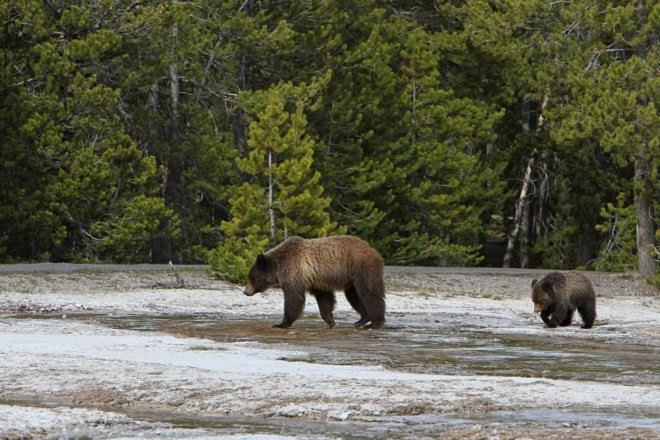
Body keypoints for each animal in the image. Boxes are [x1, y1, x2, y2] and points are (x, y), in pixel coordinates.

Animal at [243, 235, 386, 329]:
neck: (278, 268)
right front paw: (330, 321)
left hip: (362, 268)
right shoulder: (316, 280)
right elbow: (325, 300)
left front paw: (281, 323)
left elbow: (293, 299)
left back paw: (375, 323)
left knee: (369, 293)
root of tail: (373, 250)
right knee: (354, 296)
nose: (245, 291)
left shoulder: (294, 271)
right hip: (351, 280)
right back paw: (361, 320)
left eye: (251, 277)